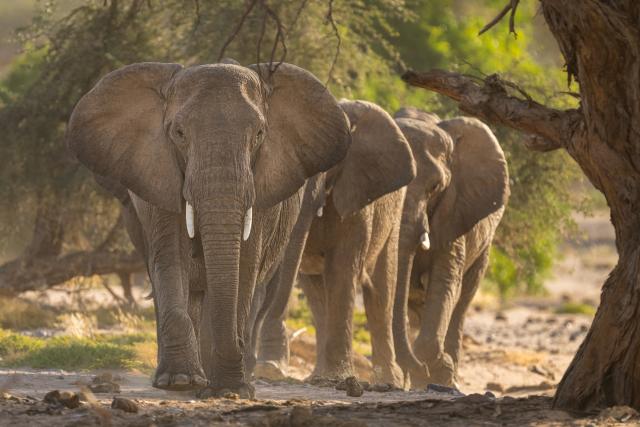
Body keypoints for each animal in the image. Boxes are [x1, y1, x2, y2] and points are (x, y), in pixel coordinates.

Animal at [65, 61, 351, 398]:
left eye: (259, 133)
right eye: (178, 133)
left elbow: (243, 266)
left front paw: (231, 388)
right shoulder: (158, 176)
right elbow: (171, 258)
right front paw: (180, 382)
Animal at [252, 100, 416, 386]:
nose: (267, 368)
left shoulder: (357, 192)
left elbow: (342, 269)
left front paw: (338, 376)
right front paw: (271, 370)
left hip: (393, 215)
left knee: (381, 291)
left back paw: (389, 380)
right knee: (318, 293)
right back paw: (320, 375)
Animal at [392, 108, 509, 389]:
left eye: (435, 187)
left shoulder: (456, 210)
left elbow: (444, 281)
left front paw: (436, 370)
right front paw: (428, 370)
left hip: (484, 249)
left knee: (463, 299)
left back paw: (449, 377)